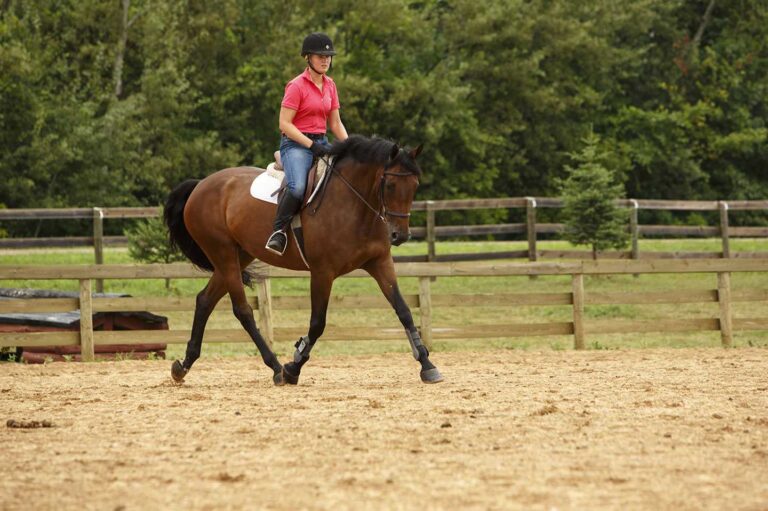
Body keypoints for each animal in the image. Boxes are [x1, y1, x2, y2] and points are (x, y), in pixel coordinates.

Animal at [166, 135, 448, 384]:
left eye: (415, 186)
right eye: (389, 185)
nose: (400, 235)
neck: (354, 204)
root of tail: (201, 184)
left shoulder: (380, 263)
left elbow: (404, 311)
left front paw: (427, 365)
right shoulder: (323, 272)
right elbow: (317, 323)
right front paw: (294, 366)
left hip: (239, 255)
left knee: (205, 300)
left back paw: (183, 366)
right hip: (222, 252)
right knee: (242, 310)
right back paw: (276, 367)